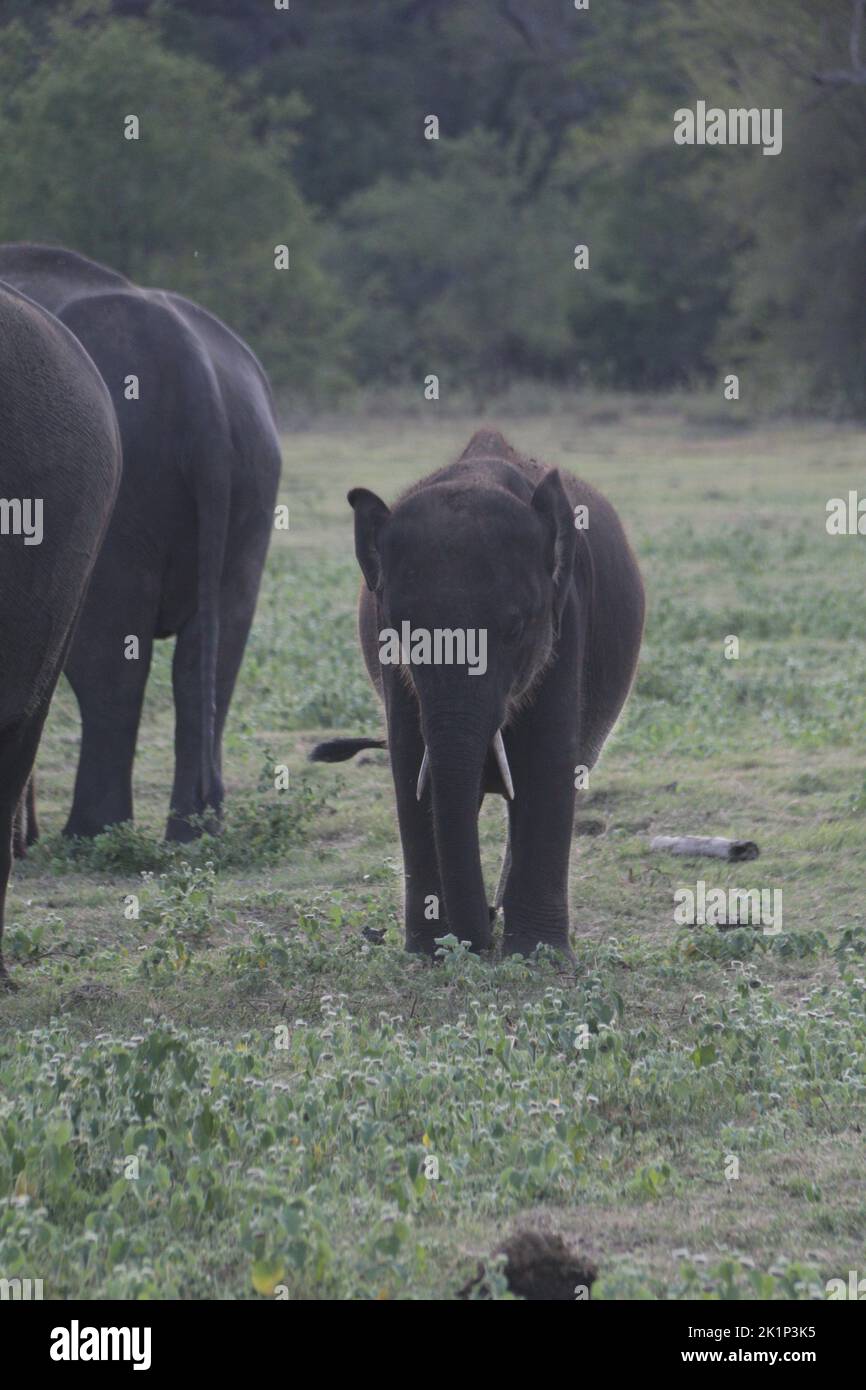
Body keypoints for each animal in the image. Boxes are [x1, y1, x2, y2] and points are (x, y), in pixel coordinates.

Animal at [0, 244, 280, 839]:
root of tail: (195, 368)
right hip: (255, 478)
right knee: (214, 651)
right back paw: (196, 827)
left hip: (122, 495)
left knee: (109, 662)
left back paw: (89, 834)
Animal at [311, 428, 644, 961]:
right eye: (403, 631)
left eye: (513, 629)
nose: (478, 939)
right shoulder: (392, 663)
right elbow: (412, 766)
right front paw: (430, 952)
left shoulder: (567, 621)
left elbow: (547, 761)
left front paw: (537, 957)